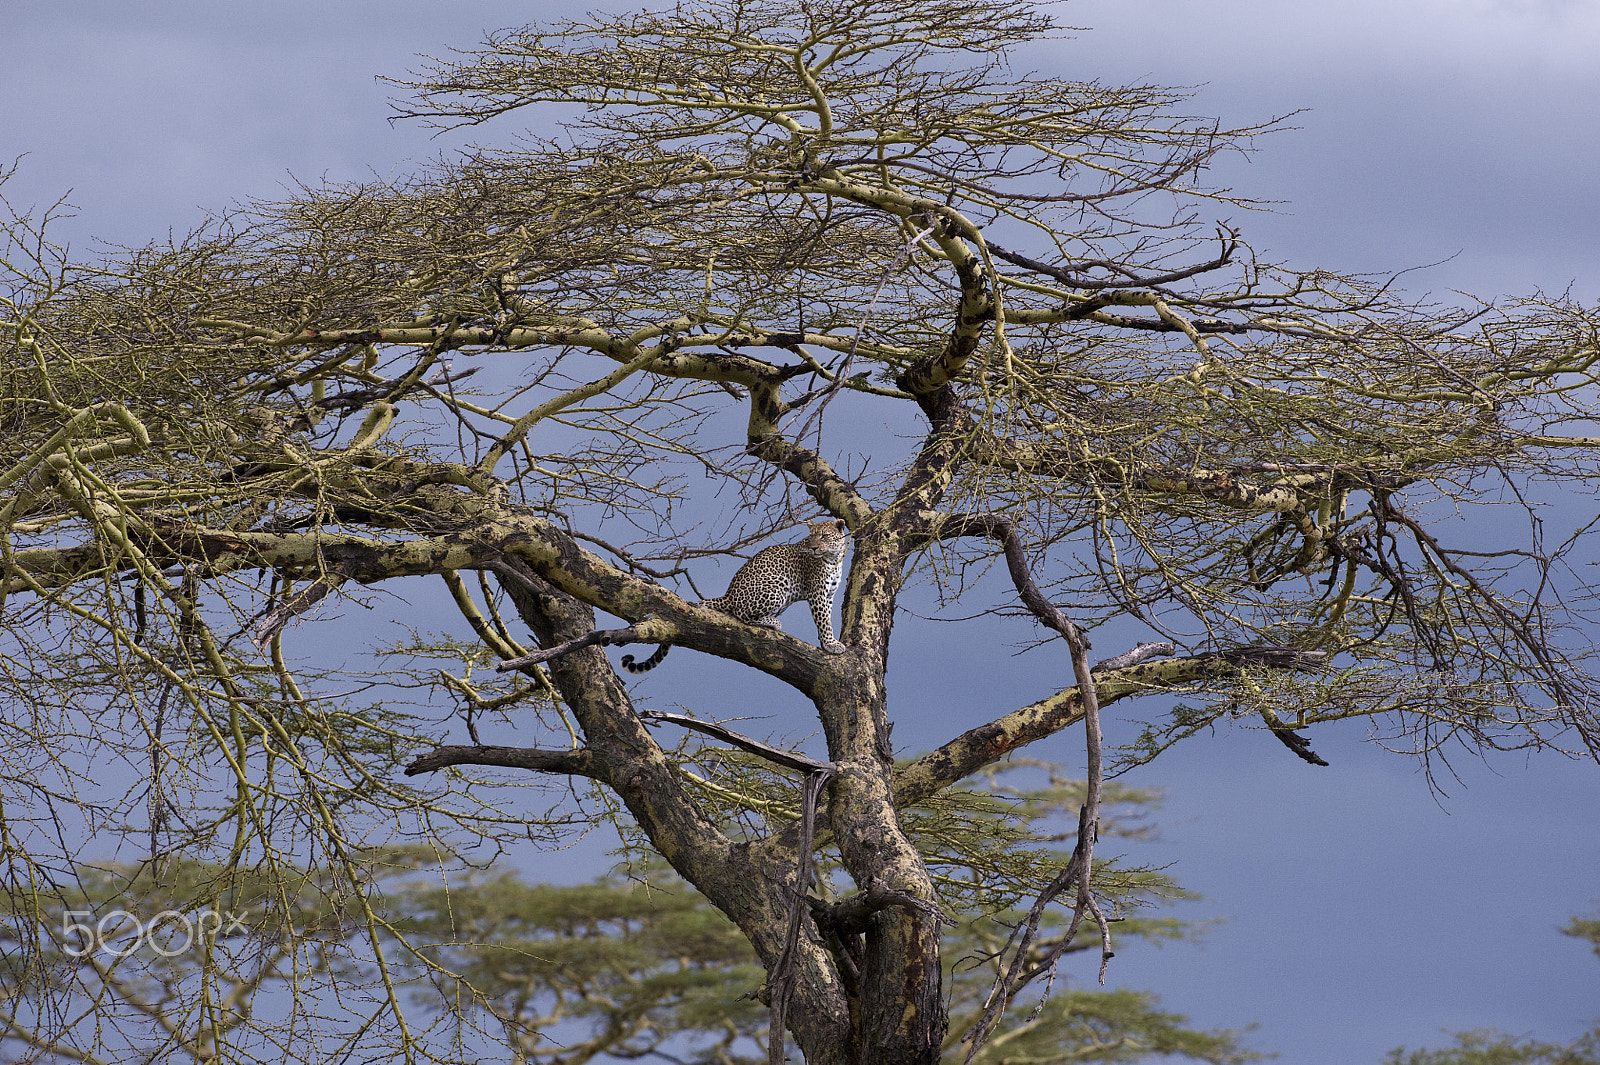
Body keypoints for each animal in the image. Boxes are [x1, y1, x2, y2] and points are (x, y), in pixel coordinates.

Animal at [621, 518, 851, 673]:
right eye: (812, 537)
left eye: (824, 536)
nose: (814, 548)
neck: (834, 558)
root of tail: (728, 594)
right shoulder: (817, 593)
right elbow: (823, 620)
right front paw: (832, 645)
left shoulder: (829, 595)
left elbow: (826, 618)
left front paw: (827, 642)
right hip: (778, 588)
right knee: (742, 614)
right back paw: (772, 622)